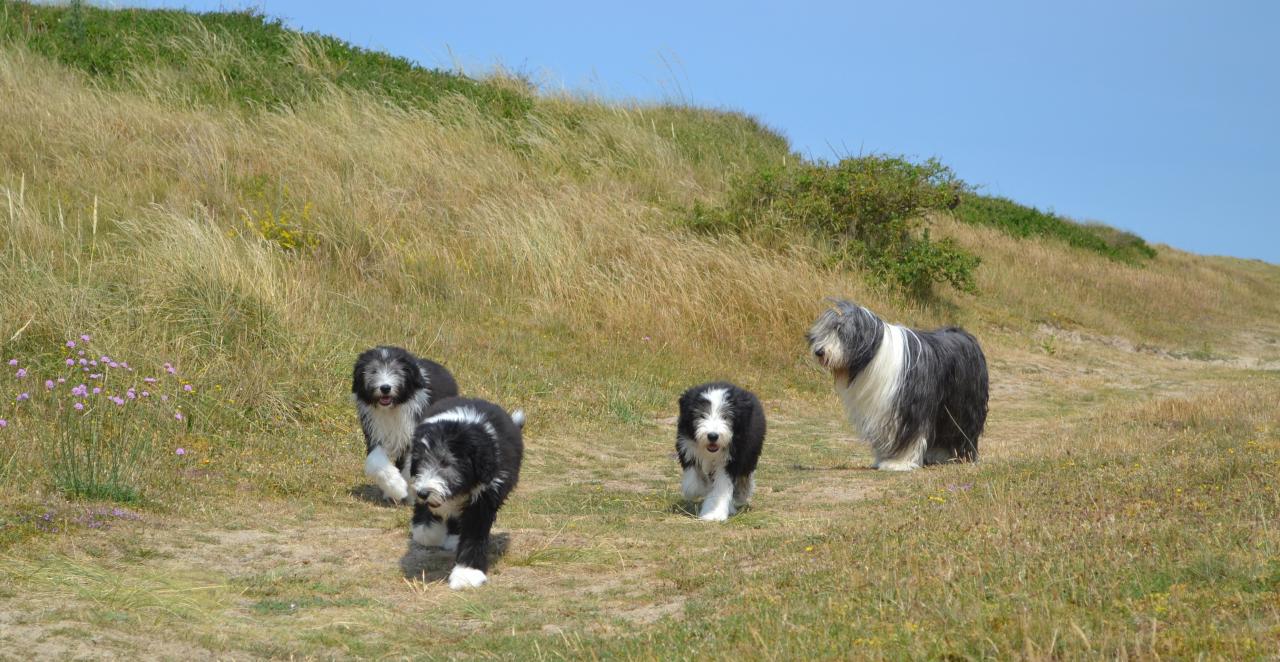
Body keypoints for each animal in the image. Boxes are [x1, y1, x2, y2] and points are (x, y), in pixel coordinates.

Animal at [350, 345, 460, 501]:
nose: (385, 388)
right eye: (373, 370)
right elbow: (376, 459)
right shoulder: (375, 431)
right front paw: (396, 488)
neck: (393, 408)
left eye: (397, 371)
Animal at [407, 394, 522, 591]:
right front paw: (428, 531)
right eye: (420, 461)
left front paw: (467, 574)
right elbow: (427, 520)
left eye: (446, 463)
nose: (423, 493)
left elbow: (474, 535)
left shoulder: (485, 497)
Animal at [675, 381, 762, 522]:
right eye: (701, 415)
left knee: (745, 476)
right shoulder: (687, 447)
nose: (712, 436)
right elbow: (693, 483)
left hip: (750, 454)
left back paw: (741, 495)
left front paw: (714, 513)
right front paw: (702, 488)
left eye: (726, 416)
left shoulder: (732, 458)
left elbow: (721, 486)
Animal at [808, 299, 988, 468]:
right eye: (824, 330)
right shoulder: (882, 408)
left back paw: (961, 456)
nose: (819, 352)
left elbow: (908, 435)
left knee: (962, 430)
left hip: (964, 405)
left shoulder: (908, 409)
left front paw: (898, 463)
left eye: (840, 330)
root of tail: (964, 334)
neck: (875, 354)